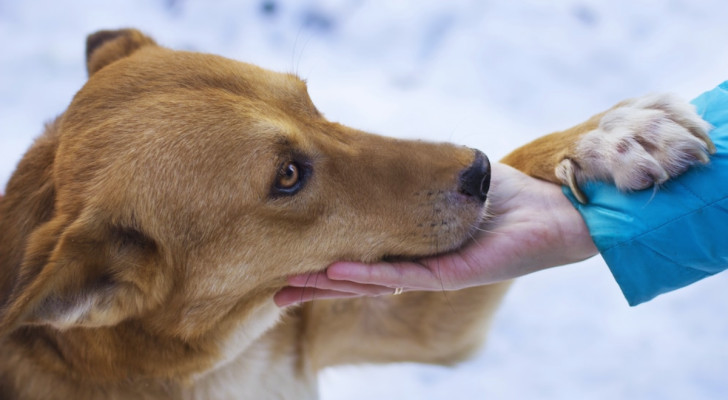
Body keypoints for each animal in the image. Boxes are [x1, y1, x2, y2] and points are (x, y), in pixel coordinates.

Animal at [0, 29, 712, 398]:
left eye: (312, 103)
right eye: (287, 176)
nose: (479, 173)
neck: (216, 361)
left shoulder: (407, 325)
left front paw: (607, 138)